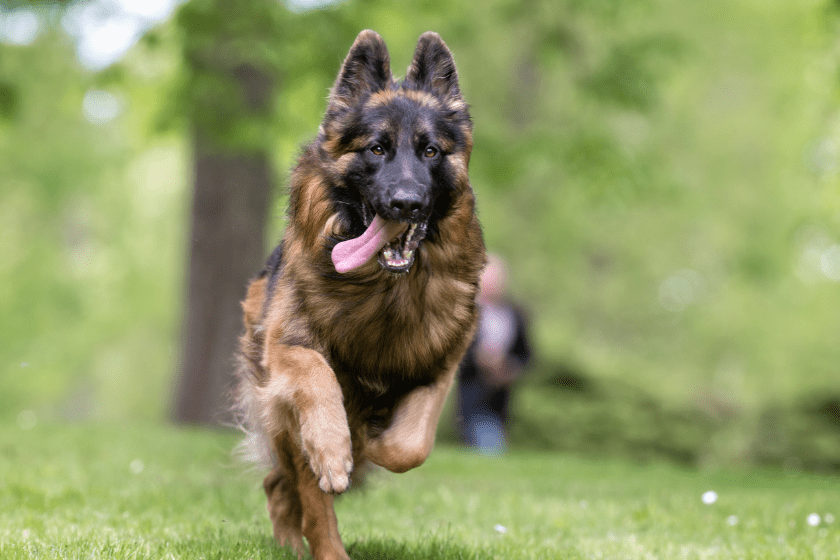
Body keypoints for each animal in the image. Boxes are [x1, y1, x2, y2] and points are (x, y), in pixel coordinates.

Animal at [235, 31, 486, 560]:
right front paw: (335, 448)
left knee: (283, 485)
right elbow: (318, 379)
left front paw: (371, 443)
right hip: (280, 411)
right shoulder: (287, 347)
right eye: (376, 148)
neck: (383, 291)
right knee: (295, 487)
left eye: (430, 151)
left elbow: (411, 445)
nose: (406, 203)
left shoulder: (440, 364)